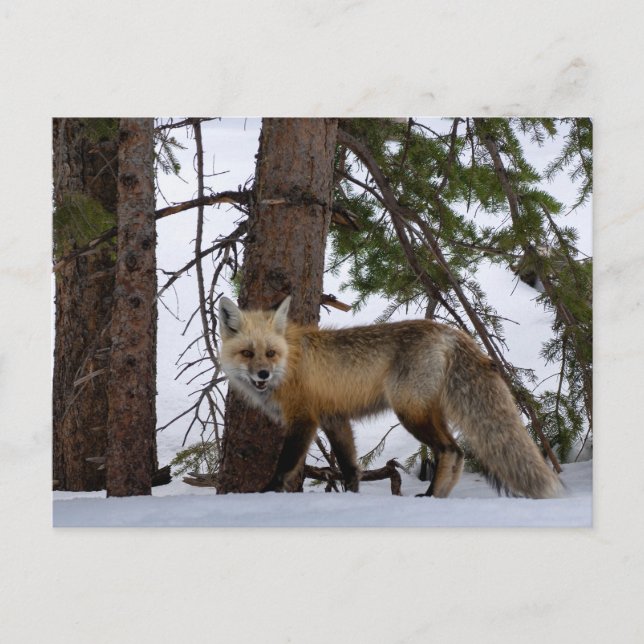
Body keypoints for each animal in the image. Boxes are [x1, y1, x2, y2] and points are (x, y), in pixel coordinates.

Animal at [217, 295, 562, 499]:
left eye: (270, 353)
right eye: (247, 353)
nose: (263, 374)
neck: (290, 362)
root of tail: (448, 331)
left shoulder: (304, 419)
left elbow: (284, 465)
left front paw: (265, 493)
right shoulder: (334, 418)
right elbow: (350, 468)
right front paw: (351, 498)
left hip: (409, 412)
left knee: (449, 450)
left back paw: (431, 495)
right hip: (429, 411)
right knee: (459, 452)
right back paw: (441, 496)